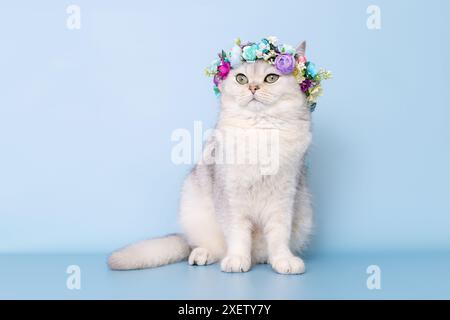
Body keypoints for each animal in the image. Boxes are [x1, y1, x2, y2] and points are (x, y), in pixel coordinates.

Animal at [108, 41, 312, 274]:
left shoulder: (284, 197)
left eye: (271, 78)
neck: (259, 131)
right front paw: (237, 259)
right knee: (210, 247)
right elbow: (237, 234)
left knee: (261, 251)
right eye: (241, 79)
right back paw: (202, 255)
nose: (253, 88)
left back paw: (265, 259)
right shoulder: (230, 196)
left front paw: (282, 260)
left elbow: (279, 235)